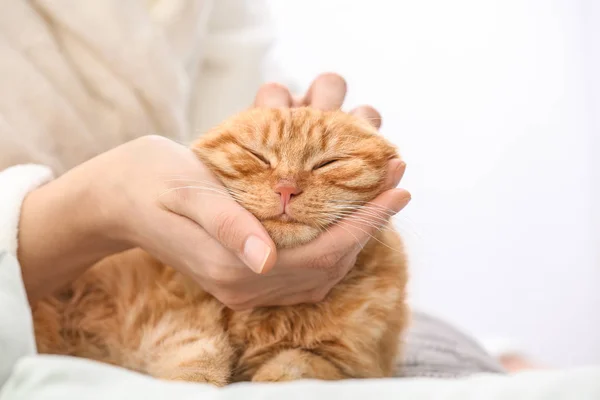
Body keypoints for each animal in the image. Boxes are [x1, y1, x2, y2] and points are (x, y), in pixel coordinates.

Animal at [31, 107, 408, 384]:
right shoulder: (173, 320)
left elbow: (292, 367)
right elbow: (199, 359)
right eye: (257, 156)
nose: (286, 188)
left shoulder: (349, 364)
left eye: (328, 163)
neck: (271, 315)